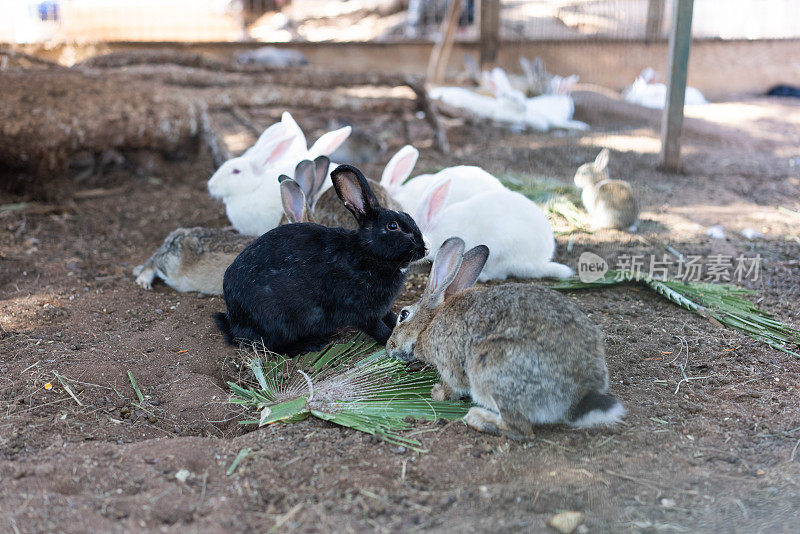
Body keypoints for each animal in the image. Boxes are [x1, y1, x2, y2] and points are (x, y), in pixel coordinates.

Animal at [211, 163, 424, 356]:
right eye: (392, 226)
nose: (424, 248)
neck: (366, 253)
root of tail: (233, 320)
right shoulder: (362, 312)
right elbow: (379, 330)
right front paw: (393, 343)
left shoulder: (382, 308)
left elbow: (393, 318)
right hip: (276, 320)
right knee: (274, 347)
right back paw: (311, 344)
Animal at [386, 238, 624, 440]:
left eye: (403, 315)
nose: (388, 348)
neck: (428, 324)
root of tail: (578, 395)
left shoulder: (450, 364)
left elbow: (452, 387)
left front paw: (437, 393)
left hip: (491, 372)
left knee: (521, 429)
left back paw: (477, 418)